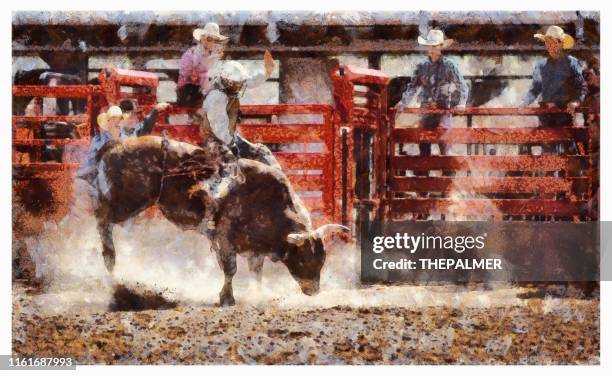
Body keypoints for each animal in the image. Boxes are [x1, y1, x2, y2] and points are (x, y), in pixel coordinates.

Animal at [90, 135, 350, 306]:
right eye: (303, 258)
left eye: (322, 259)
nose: (313, 290)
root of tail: (116, 145)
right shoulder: (224, 241)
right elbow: (230, 270)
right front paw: (227, 298)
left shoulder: (255, 250)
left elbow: (256, 272)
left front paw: (257, 294)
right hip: (127, 201)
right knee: (102, 218)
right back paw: (107, 256)